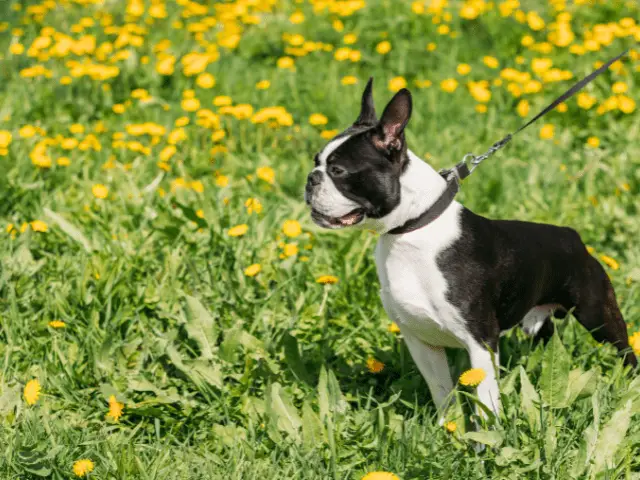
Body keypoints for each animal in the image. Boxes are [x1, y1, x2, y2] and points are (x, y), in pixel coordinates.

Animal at [304, 78, 636, 416]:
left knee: (625, 351)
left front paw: (490, 430)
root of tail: (572, 236)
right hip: (536, 322)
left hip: (598, 314)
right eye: (316, 162)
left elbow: (485, 400)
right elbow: (442, 392)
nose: (310, 179)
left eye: (338, 171)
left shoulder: (481, 342)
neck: (411, 228)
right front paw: (447, 426)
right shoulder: (421, 342)